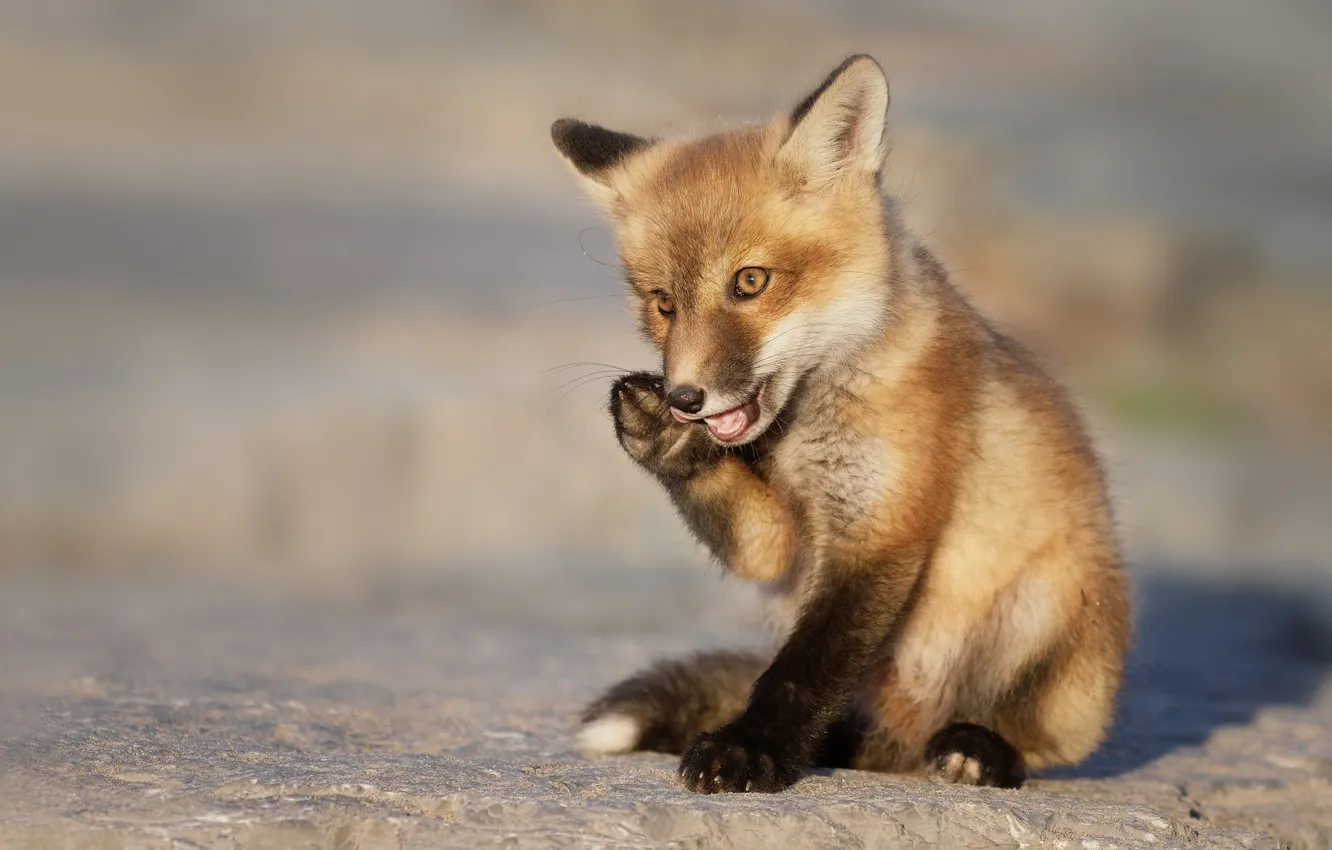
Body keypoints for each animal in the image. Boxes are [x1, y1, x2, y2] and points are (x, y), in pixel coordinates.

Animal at [550, 55, 1130, 793]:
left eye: (750, 281)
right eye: (663, 304)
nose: (685, 397)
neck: (807, 426)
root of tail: (906, 743)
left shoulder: (881, 529)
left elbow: (803, 671)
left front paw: (748, 752)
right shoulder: (782, 550)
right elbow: (760, 558)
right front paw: (666, 438)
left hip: (1049, 609)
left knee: (1041, 740)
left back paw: (981, 749)